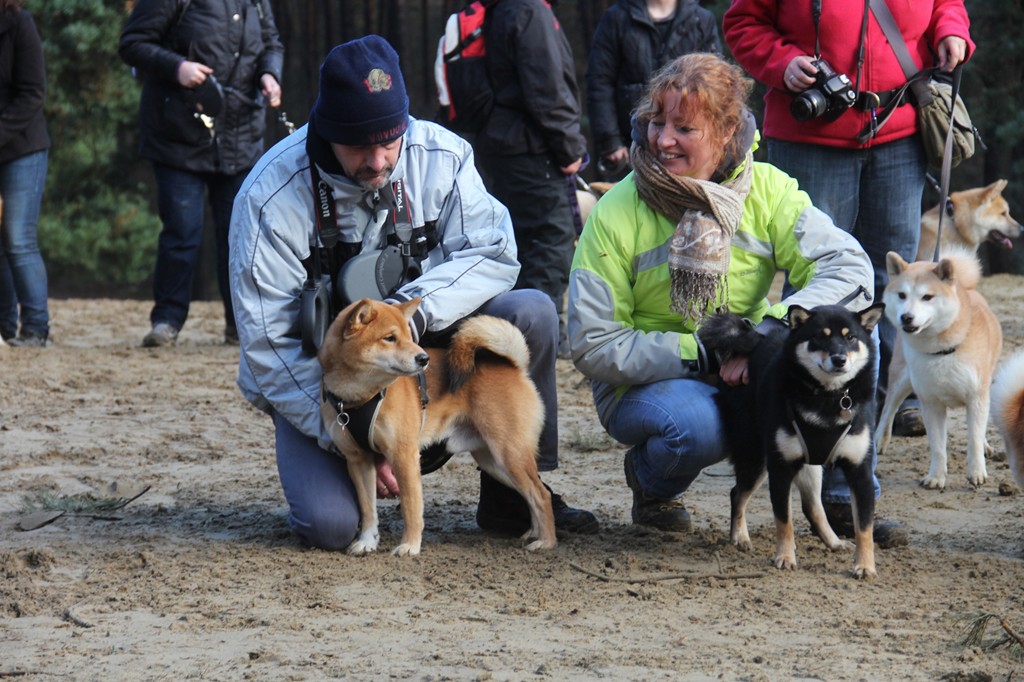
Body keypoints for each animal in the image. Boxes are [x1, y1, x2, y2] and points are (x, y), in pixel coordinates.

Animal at [700, 305, 884, 577]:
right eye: (819, 337)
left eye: (851, 337)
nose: (839, 359)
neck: (827, 396)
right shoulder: (781, 467)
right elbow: (783, 520)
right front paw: (785, 557)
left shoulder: (859, 470)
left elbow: (864, 527)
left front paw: (865, 566)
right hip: (756, 457)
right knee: (738, 494)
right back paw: (740, 537)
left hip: (810, 464)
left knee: (813, 507)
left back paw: (834, 542)